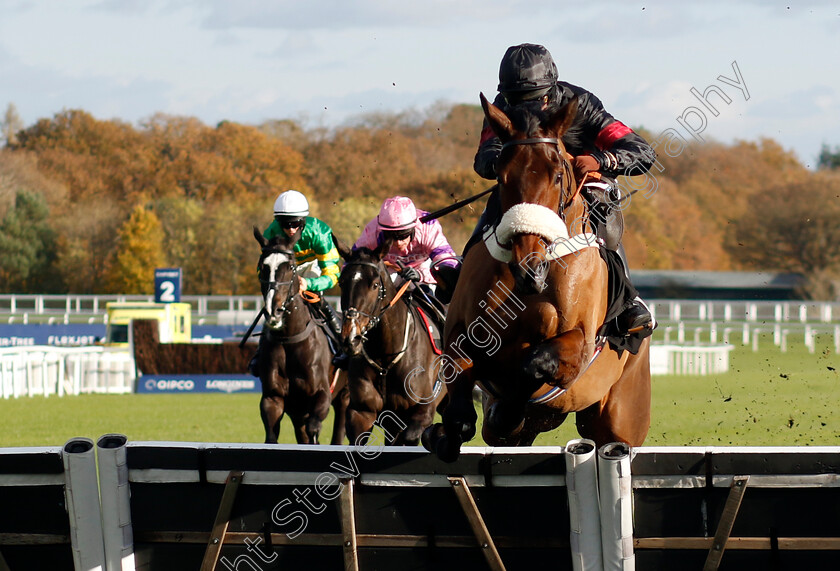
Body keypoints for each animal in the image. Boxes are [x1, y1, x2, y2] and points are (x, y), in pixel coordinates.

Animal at [254, 228, 350, 446]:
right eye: (263, 267)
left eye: (290, 267)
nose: (274, 311)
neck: (289, 339)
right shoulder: (273, 398)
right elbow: (271, 437)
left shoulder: (322, 395)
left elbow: (314, 429)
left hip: (344, 396)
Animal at [334, 239, 446, 450]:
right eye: (342, 283)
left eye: (375, 285)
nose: (350, 338)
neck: (385, 355)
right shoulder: (362, 412)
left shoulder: (422, 410)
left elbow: (410, 436)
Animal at [424, 94, 652, 460]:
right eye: (502, 177)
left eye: (558, 175)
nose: (528, 266)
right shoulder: (460, 331)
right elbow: (460, 410)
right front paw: (441, 433)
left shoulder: (578, 346)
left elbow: (535, 365)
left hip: (619, 419)